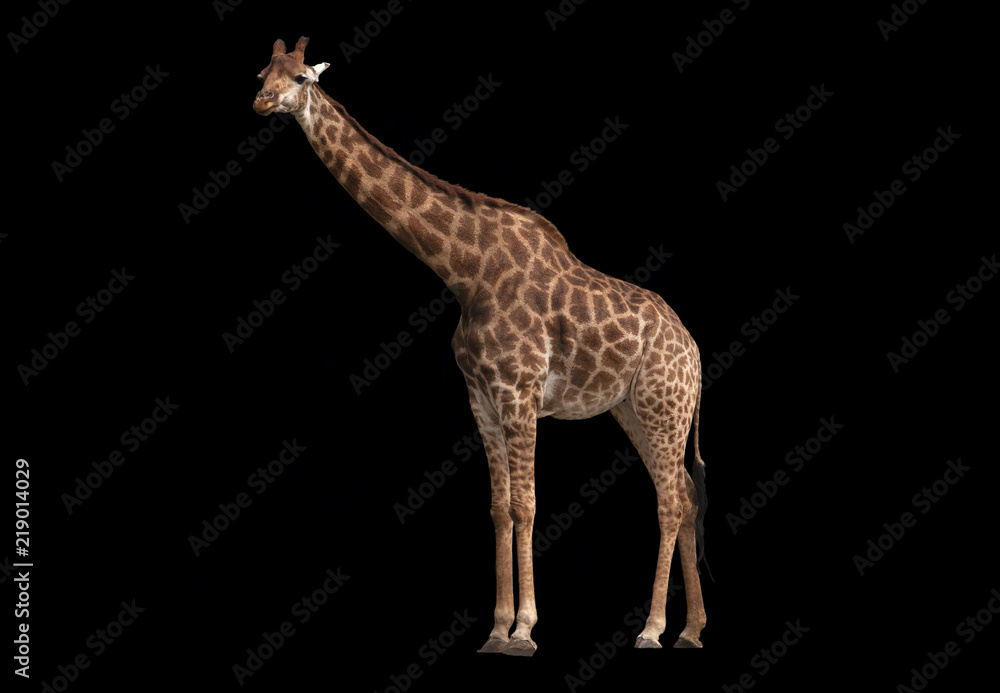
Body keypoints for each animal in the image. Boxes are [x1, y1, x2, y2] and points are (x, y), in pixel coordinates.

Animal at [253, 37, 710, 654]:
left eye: (301, 77)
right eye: (262, 73)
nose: (261, 101)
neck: (464, 272)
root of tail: (694, 350)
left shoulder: (519, 393)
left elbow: (526, 503)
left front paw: (526, 630)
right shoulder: (482, 401)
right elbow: (497, 508)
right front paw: (497, 629)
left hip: (664, 405)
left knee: (670, 499)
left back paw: (653, 630)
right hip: (633, 408)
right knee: (682, 492)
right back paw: (692, 630)